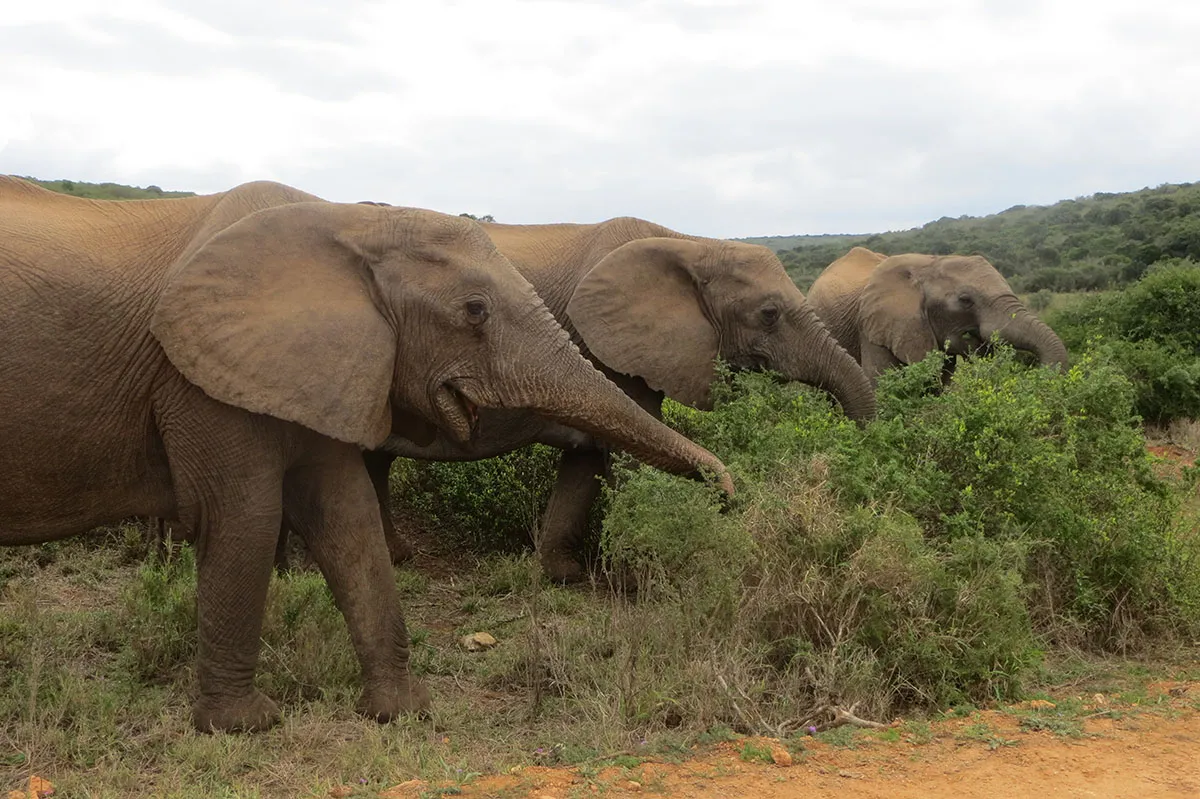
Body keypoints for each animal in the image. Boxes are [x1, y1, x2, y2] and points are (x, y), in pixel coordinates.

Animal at [0, 177, 734, 733]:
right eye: (474, 311)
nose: (730, 489)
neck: (349, 224)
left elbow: (344, 515)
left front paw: (402, 712)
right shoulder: (198, 376)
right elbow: (243, 519)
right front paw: (244, 726)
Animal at [327, 217, 878, 583]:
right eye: (769, 314)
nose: (730, 496)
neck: (689, 245)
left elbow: (590, 457)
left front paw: (564, 576)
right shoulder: (607, 348)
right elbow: (629, 456)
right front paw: (647, 578)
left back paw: (397, 559)